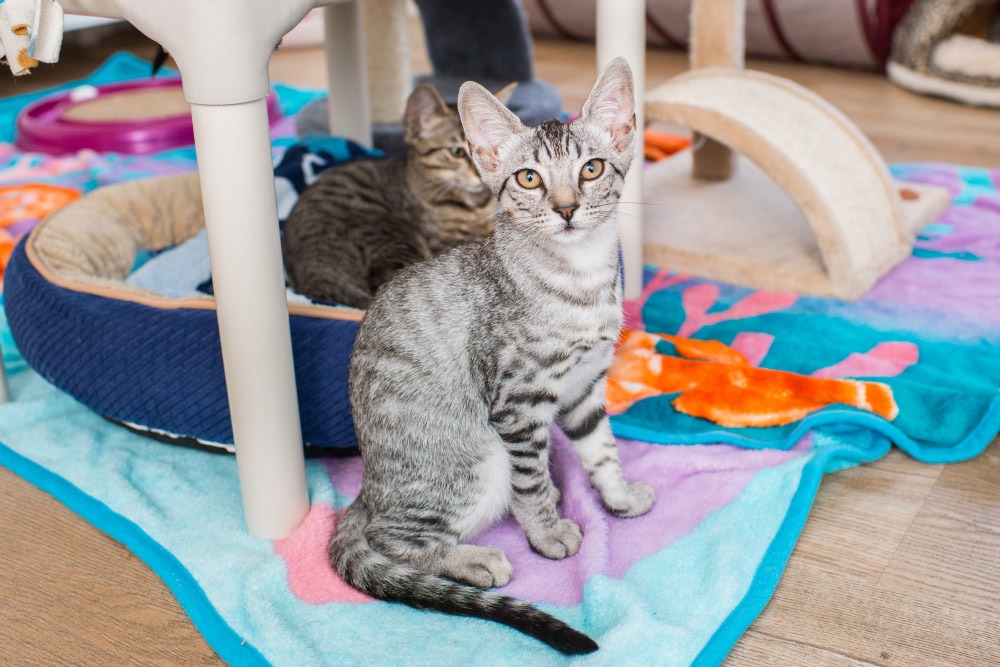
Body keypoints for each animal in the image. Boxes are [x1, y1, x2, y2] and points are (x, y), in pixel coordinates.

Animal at [330, 60, 656, 656]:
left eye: (592, 169)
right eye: (528, 179)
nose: (567, 208)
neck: (579, 281)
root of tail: (368, 488)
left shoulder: (585, 387)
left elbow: (601, 449)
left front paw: (618, 496)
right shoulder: (518, 402)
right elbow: (529, 483)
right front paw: (547, 531)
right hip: (476, 460)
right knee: (392, 538)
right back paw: (473, 559)